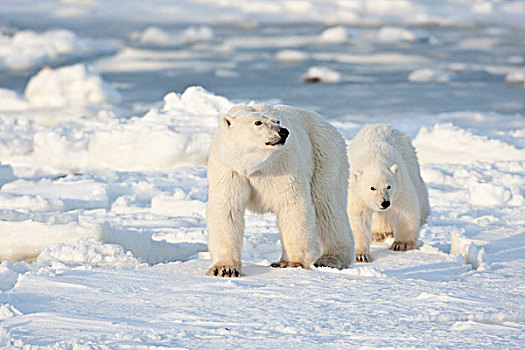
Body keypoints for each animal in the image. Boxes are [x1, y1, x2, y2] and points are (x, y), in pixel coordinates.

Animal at [207, 103, 354, 276]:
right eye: (258, 122)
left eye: (277, 120)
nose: (283, 131)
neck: (253, 167)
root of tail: (328, 124)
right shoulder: (230, 170)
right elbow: (227, 209)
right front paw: (225, 269)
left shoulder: (282, 165)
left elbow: (292, 204)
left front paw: (292, 263)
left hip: (323, 154)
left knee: (327, 206)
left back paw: (331, 258)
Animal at [346, 124, 428, 262]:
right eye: (372, 188)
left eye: (388, 186)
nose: (385, 203)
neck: (373, 159)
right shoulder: (356, 194)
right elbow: (358, 218)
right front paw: (361, 255)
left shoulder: (400, 185)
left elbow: (406, 209)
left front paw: (401, 244)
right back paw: (378, 234)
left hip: (410, 161)